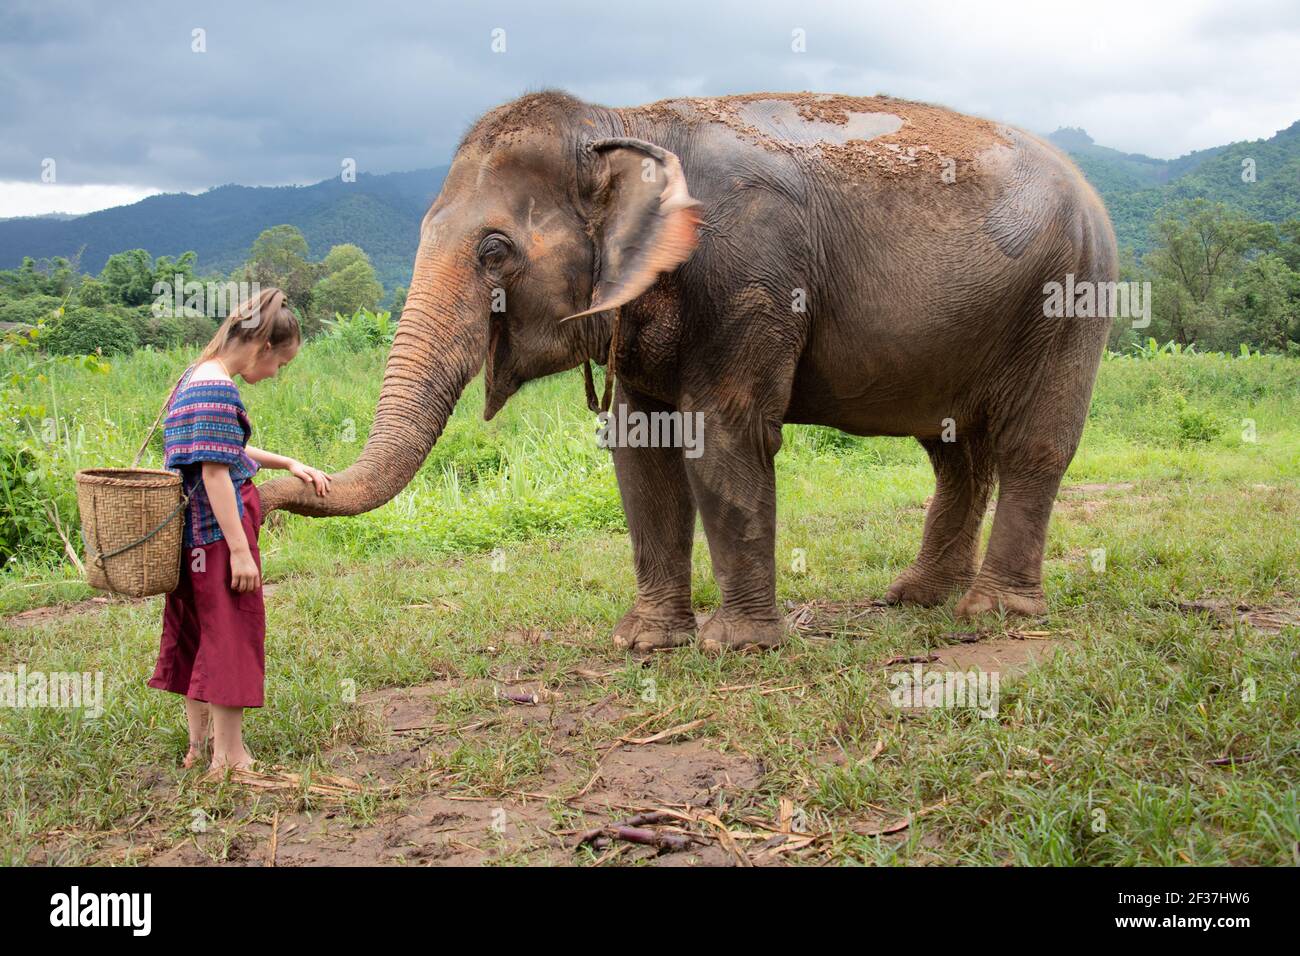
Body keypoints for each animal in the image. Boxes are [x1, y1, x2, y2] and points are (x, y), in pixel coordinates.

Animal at [256, 89, 1118, 655]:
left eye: (494, 251)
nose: (263, 500)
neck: (622, 123)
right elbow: (641, 456)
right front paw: (644, 644)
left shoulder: (750, 269)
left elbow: (724, 436)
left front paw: (736, 648)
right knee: (953, 455)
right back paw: (915, 598)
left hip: (1069, 298)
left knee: (1031, 447)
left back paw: (995, 615)